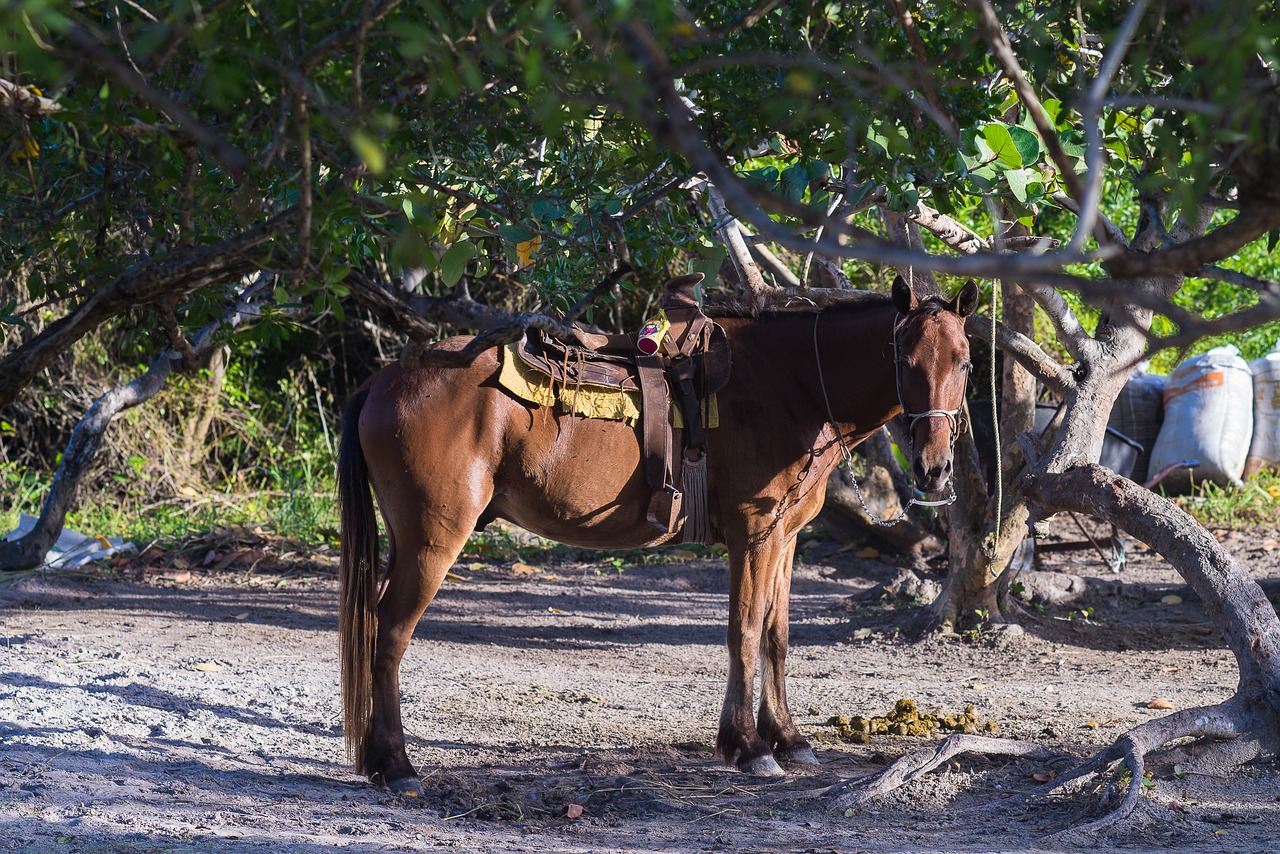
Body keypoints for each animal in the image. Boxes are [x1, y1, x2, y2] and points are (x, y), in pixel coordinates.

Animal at [335, 277, 972, 798]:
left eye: (964, 363)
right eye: (904, 357)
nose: (935, 467)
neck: (792, 384)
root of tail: (385, 379)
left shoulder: (785, 537)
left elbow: (776, 635)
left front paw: (788, 738)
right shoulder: (754, 535)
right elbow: (744, 631)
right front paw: (748, 747)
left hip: (409, 542)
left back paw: (379, 760)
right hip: (433, 541)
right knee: (389, 634)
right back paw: (396, 766)